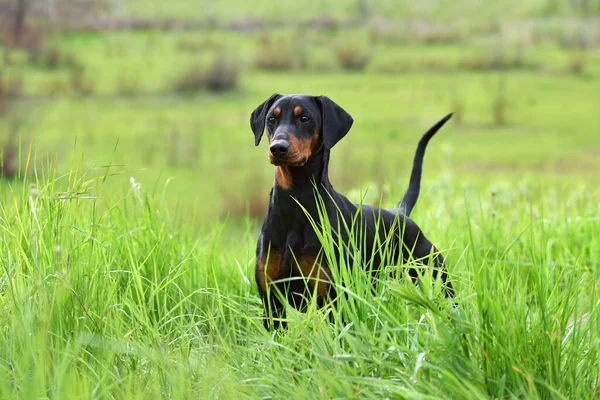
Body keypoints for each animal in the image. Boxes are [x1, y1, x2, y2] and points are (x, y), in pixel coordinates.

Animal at [250, 94, 454, 332]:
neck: (295, 202)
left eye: (305, 118)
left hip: (436, 277)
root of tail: (400, 213)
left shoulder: (331, 297)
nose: (278, 148)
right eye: (272, 119)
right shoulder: (272, 302)